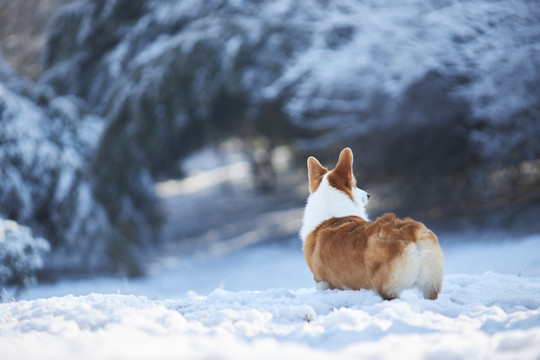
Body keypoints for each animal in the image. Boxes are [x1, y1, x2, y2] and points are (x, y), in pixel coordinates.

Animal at [300, 148, 442, 300]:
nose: (368, 195)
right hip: (430, 286)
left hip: (385, 285)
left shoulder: (321, 282)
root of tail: (411, 230)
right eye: (356, 184)